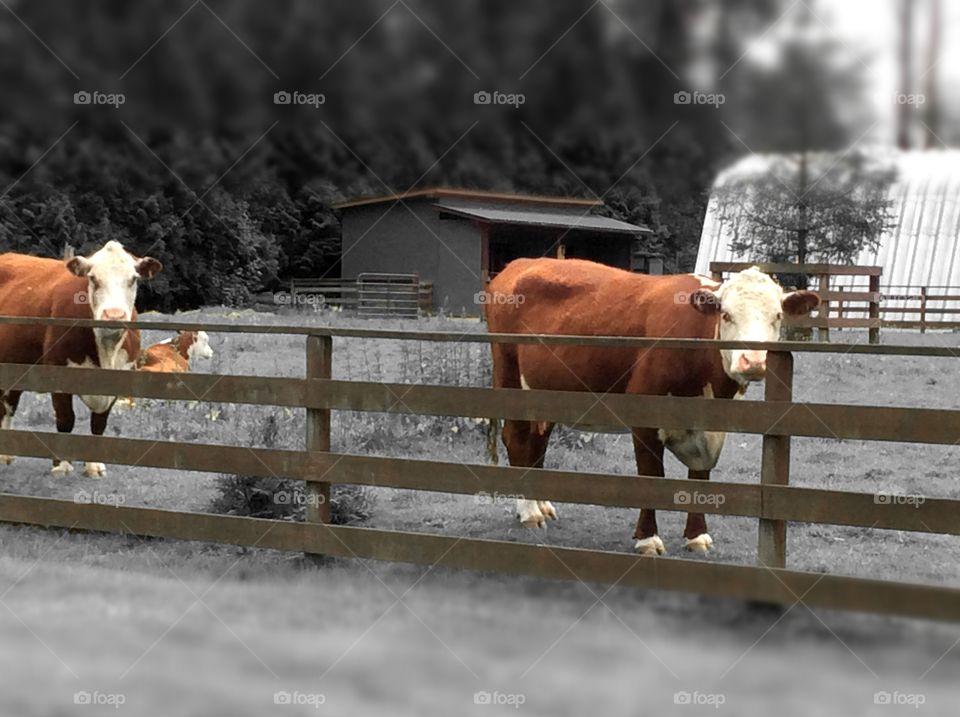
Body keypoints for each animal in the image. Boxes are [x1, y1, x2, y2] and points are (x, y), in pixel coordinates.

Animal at [0, 241, 161, 476]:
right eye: (93, 278)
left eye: (133, 278)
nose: (114, 315)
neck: (106, 352)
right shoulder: (58, 372)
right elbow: (66, 418)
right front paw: (61, 465)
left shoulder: (119, 376)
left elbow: (99, 423)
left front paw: (95, 466)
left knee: (9, 403)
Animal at [488, 260, 816, 556]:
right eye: (726, 315)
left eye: (777, 316)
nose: (754, 362)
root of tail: (517, 265)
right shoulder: (645, 416)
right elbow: (651, 477)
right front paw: (648, 539)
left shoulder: (711, 428)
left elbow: (701, 477)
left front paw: (697, 536)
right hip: (510, 380)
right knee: (516, 439)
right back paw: (529, 511)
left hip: (546, 393)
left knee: (538, 440)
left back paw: (542, 504)